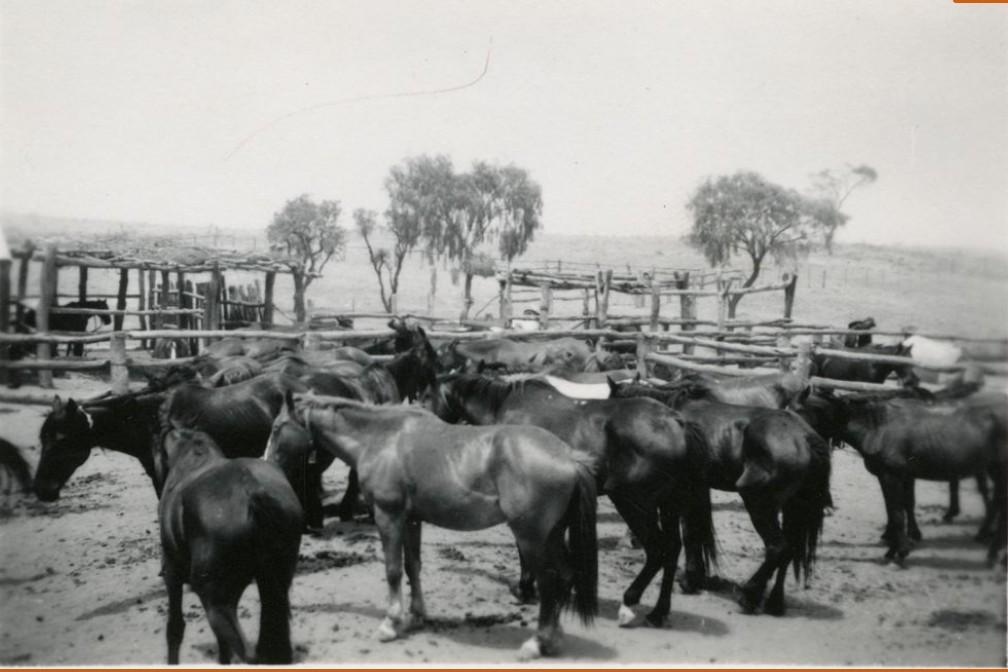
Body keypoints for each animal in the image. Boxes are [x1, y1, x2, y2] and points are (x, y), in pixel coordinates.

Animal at [153, 429, 300, 664]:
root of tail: (252, 492)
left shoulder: (172, 573)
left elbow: (174, 629)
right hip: (273, 587)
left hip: (217, 604)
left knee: (248, 654)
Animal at [266, 394, 596, 660]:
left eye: (276, 427)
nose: (265, 463)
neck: (382, 439)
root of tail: (568, 456)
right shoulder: (411, 519)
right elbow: (413, 565)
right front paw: (417, 614)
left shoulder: (388, 516)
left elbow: (393, 570)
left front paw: (390, 624)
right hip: (553, 535)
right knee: (565, 577)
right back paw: (553, 640)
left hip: (531, 538)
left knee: (550, 582)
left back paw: (536, 643)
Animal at [427, 372, 717, 632]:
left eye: (425, 395)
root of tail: (677, 422)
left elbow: (526, 548)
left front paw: (525, 589)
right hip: (668, 505)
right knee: (672, 549)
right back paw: (658, 613)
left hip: (634, 503)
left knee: (658, 550)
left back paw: (629, 603)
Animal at [608, 378, 830, 616]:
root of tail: (805, 436)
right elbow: (697, 531)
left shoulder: (690, 491)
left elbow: (692, 533)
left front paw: (690, 580)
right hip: (793, 508)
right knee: (790, 549)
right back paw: (774, 603)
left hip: (758, 503)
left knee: (777, 548)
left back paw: (749, 595)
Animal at [794, 390, 1008, 564]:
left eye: (800, 410)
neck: (878, 428)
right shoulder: (890, 477)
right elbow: (896, 510)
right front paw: (896, 547)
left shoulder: (893, 476)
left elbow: (898, 513)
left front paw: (899, 551)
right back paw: (989, 543)